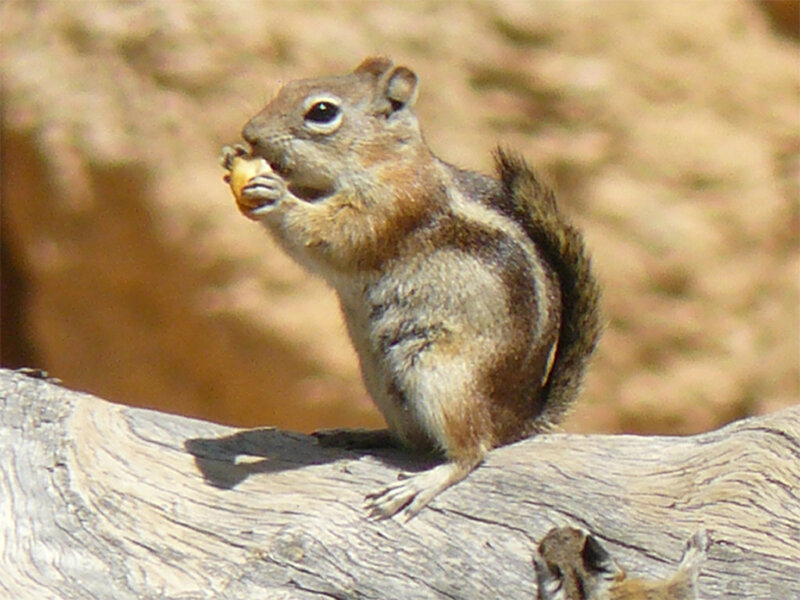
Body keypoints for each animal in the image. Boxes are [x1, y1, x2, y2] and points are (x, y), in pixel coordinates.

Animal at [220, 56, 602, 520]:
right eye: (287, 87)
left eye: (322, 112)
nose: (250, 134)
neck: (384, 159)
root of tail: (518, 419)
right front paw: (233, 158)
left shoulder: (390, 209)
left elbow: (330, 236)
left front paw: (277, 193)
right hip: (381, 380)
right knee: (413, 441)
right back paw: (360, 434)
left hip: (443, 378)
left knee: (472, 450)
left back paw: (422, 484)